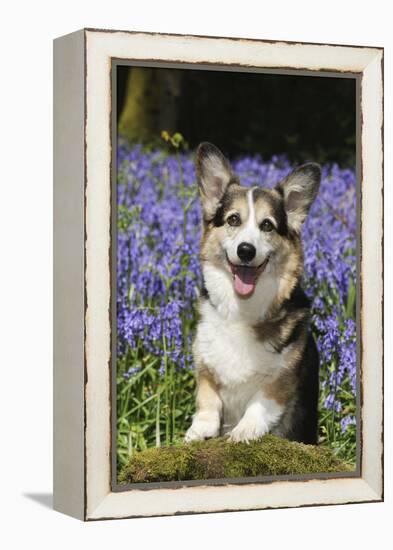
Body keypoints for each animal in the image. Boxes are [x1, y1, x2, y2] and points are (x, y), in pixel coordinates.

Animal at [185, 143, 320, 448]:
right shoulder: (205, 364)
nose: (246, 250)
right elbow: (207, 399)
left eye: (267, 225)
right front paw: (199, 430)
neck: (242, 309)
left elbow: (260, 403)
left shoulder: (282, 378)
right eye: (233, 219)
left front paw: (243, 431)